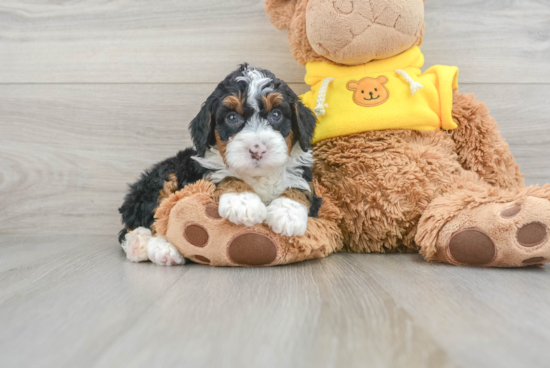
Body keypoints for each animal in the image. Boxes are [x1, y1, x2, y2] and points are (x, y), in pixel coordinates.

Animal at [118, 64, 322, 266]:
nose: (257, 150)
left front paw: (287, 214)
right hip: (164, 178)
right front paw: (243, 201)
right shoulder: (201, 175)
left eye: (276, 114)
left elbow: (300, 186)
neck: (256, 176)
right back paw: (152, 246)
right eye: (231, 117)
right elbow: (225, 175)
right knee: (145, 222)